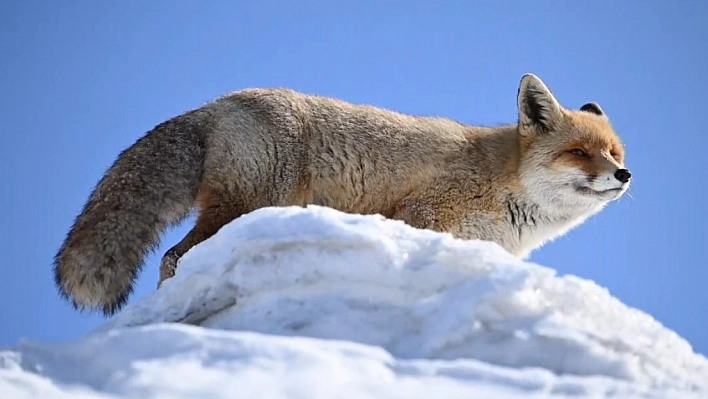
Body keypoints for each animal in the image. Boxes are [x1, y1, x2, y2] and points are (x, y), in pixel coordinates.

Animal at [52, 74, 632, 316]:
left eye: (615, 153)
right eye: (580, 153)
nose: (625, 176)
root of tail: (218, 103)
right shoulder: (421, 213)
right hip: (245, 206)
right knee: (173, 258)